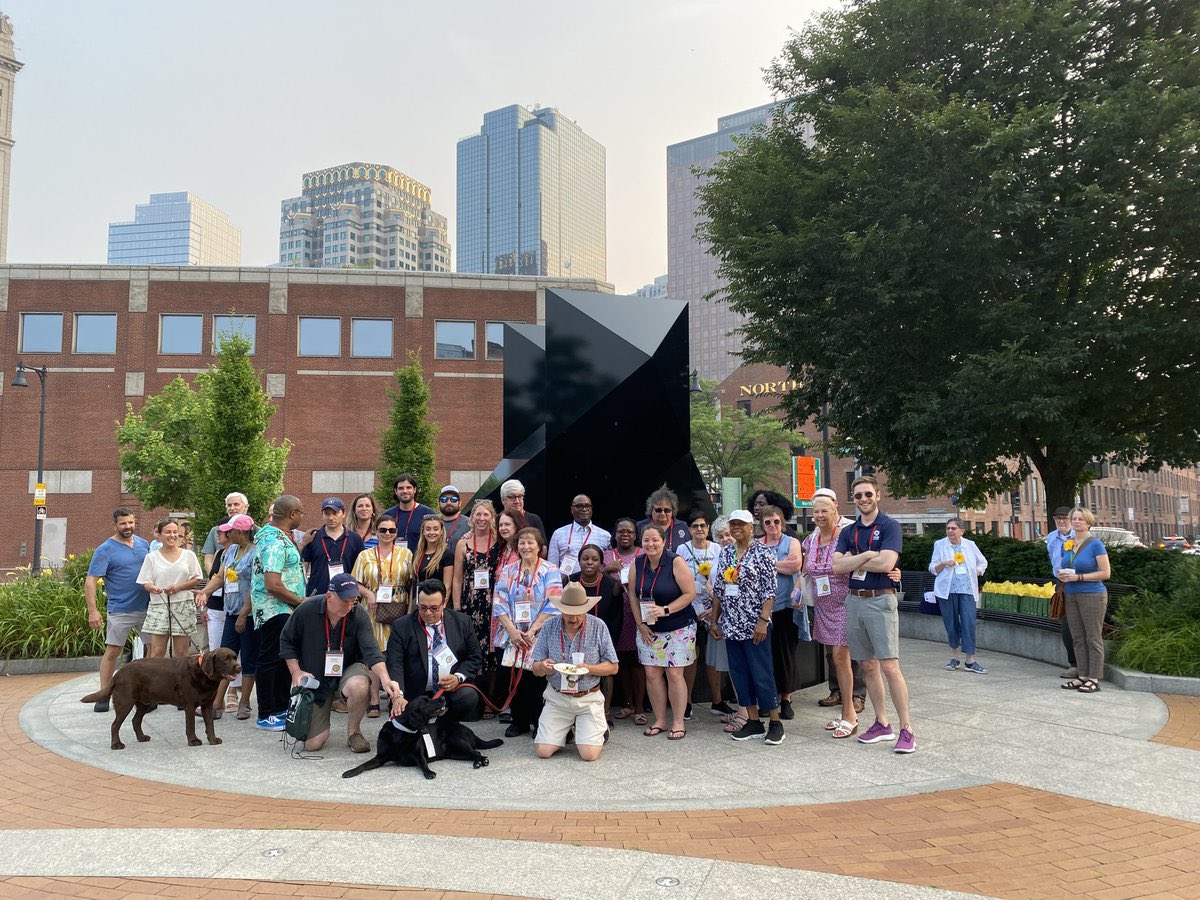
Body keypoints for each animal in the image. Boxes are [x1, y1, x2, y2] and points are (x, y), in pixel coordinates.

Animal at [343, 696, 501, 777]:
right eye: (426, 701)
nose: (443, 698)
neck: (403, 732)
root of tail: (470, 731)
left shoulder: (418, 754)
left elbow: (423, 763)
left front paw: (429, 772)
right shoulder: (380, 757)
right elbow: (364, 765)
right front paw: (350, 772)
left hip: (456, 740)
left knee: (477, 752)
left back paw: (480, 762)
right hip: (454, 753)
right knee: (475, 753)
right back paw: (480, 761)